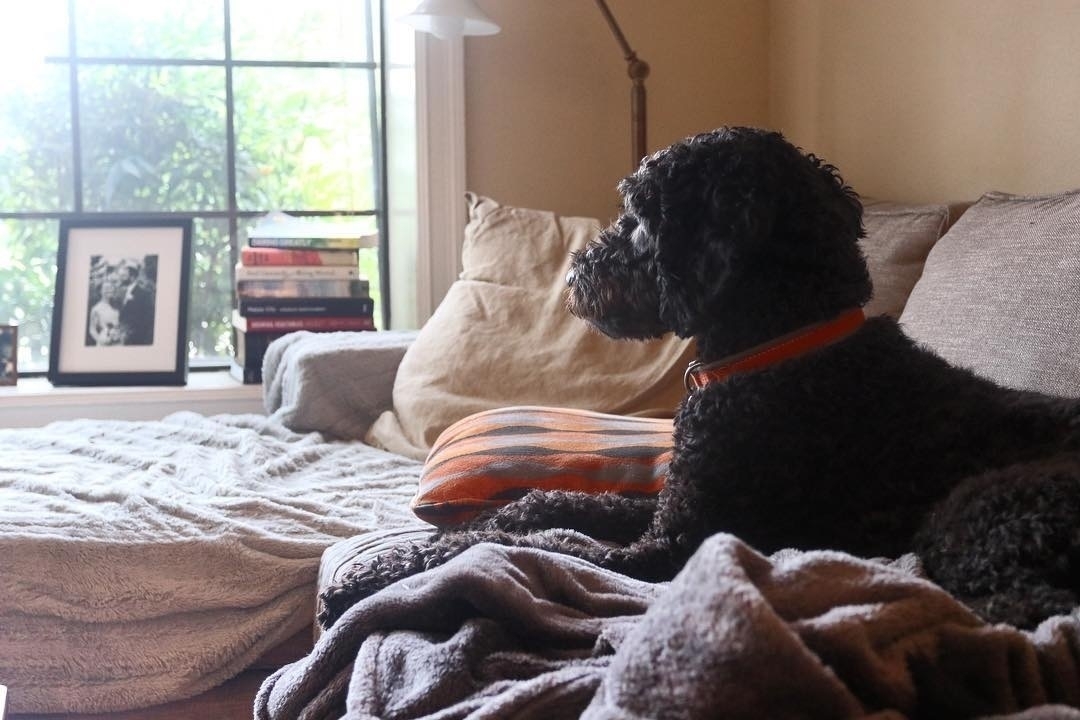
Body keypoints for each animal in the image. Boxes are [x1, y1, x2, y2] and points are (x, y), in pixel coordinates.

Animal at [321, 127, 1080, 630]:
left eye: (637, 217)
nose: (575, 275)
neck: (784, 348)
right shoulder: (672, 505)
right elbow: (563, 502)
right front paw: (506, 509)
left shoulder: (672, 549)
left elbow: (527, 546)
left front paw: (388, 571)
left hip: (975, 510)